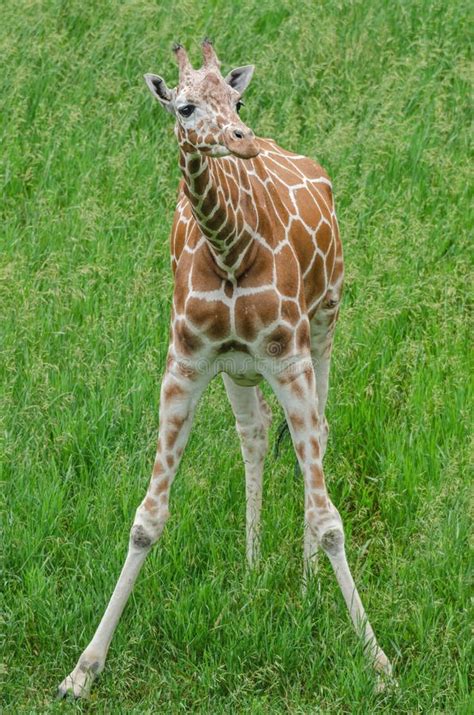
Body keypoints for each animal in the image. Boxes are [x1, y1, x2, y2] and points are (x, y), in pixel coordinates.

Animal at [58, 40, 392, 699]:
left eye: (237, 101)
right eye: (184, 106)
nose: (243, 140)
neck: (230, 249)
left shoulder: (289, 354)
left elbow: (330, 518)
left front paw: (379, 664)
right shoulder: (187, 361)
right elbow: (146, 519)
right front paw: (81, 672)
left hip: (325, 325)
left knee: (315, 435)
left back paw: (304, 582)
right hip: (239, 370)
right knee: (255, 434)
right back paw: (253, 565)